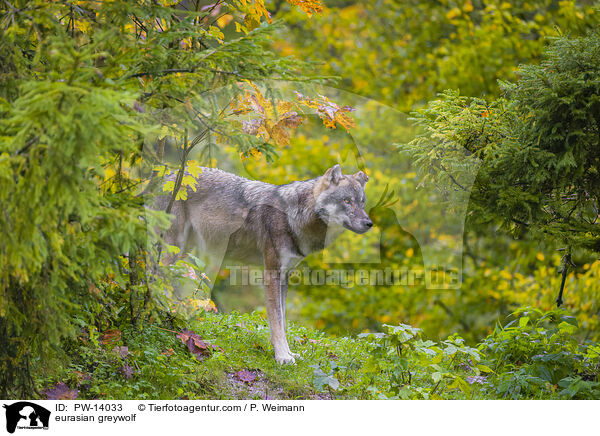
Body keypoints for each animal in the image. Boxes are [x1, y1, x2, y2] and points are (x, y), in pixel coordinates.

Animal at [156, 165, 370, 362]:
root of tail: (167, 174)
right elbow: (276, 320)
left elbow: (283, 321)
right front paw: (282, 357)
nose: (369, 223)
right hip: (173, 247)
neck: (295, 216)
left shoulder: (284, 276)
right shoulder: (271, 272)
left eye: (362, 202)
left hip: (184, 251)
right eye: (347, 201)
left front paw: (290, 353)